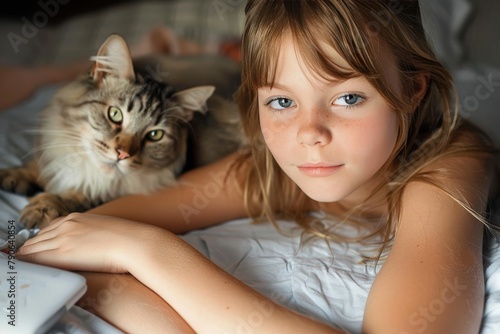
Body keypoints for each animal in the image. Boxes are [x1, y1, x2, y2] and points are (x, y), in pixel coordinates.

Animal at [0, 34, 244, 228]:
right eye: (115, 115)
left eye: (155, 135)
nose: (122, 154)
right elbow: (44, 165)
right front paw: (15, 174)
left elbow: (80, 194)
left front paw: (42, 208)